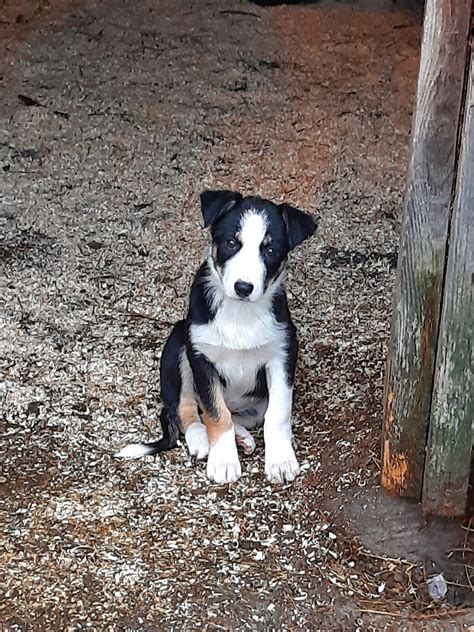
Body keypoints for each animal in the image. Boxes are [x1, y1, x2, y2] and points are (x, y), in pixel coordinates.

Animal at [116, 191, 316, 484]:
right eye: (231, 243)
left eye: (270, 251)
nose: (243, 287)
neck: (240, 313)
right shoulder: (202, 358)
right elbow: (216, 413)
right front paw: (223, 462)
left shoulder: (282, 352)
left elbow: (277, 413)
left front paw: (280, 460)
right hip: (179, 343)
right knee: (186, 409)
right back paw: (201, 440)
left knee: (238, 416)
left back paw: (242, 438)